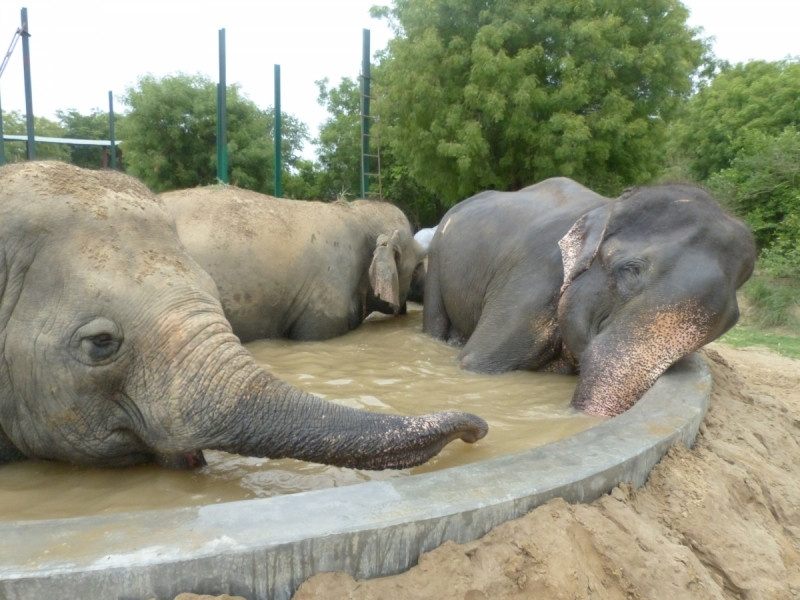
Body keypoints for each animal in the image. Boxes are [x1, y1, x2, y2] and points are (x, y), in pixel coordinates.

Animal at [424, 177, 756, 418]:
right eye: (631, 270)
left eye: (731, 321)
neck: (611, 204)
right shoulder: (532, 279)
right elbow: (475, 362)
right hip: (437, 255)